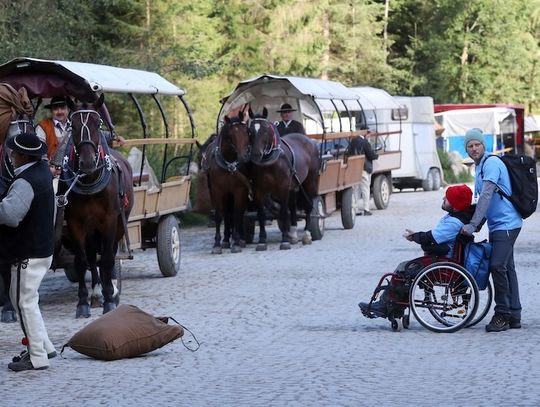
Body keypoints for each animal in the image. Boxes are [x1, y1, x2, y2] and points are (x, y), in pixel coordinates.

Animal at [59, 96, 134, 318]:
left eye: (97, 124)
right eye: (73, 126)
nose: (87, 163)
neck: (89, 179)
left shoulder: (109, 221)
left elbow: (108, 259)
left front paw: (110, 299)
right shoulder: (75, 223)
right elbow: (82, 260)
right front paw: (83, 302)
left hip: (119, 224)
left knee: (110, 253)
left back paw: (111, 291)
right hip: (91, 228)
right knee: (93, 256)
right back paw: (95, 293)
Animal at [199, 113, 252, 253]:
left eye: (246, 131)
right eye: (231, 134)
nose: (244, 156)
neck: (229, 163)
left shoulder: (240, 190)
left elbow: (237, 214)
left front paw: (237, 242)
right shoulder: (218, 190)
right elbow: (219, 215)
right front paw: (217, 243)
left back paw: (238, 239)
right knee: (227, 214)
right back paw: (226, 239)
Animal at [249, 107, 320, 250]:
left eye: (265, 130)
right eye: (250, 131)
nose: (256, 154)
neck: (270, 162)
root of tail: (309, 141)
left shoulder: (282, 188)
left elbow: (283, 212)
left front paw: (284, 241)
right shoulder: (258, 190)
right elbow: (261, 214)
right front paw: (262, 241)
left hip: (310, 182)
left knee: (309, 205)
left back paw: (307, 234)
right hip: (293, 186)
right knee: (293, 207)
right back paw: (293, 234)